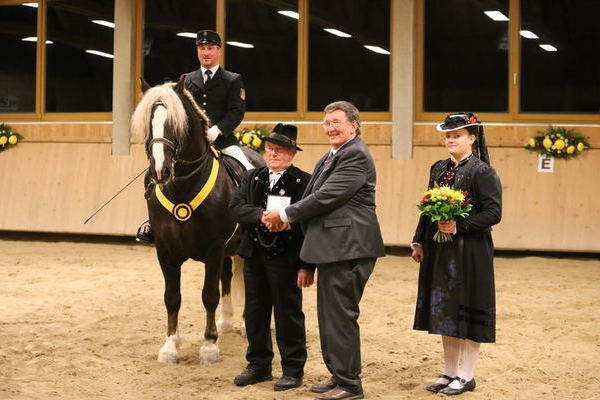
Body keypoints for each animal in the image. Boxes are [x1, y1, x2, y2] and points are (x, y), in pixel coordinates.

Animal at [131, 76, 262, 366]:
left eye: (175, 124)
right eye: (149, 122)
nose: (159, 171)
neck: (184, 186)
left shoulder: (213, 248)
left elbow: (209, 295)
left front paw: (209, 347)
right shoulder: (165, 250)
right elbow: (172, 298)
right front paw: (170, 346)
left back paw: (245, 327)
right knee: (228, 277)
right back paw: (225, 323)